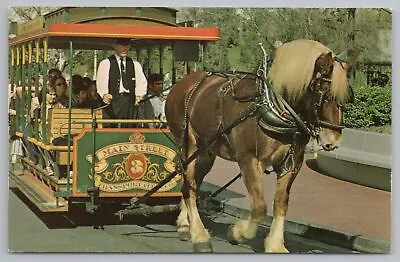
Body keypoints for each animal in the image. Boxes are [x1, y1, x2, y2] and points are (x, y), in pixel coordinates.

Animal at [164, 40, 358, 253]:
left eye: (348, 97)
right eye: (324, 94)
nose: (334, 141)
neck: (272, 106)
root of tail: (181, 84)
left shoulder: (291, 164)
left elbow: (281, 203)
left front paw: (276, 245)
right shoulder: (249, 160)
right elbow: (259, 207)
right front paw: (237, 233)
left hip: (206, 152)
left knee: (192, 183)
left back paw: (185, 226)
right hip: (188, 145)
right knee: (189, 186)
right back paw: (199, 236)